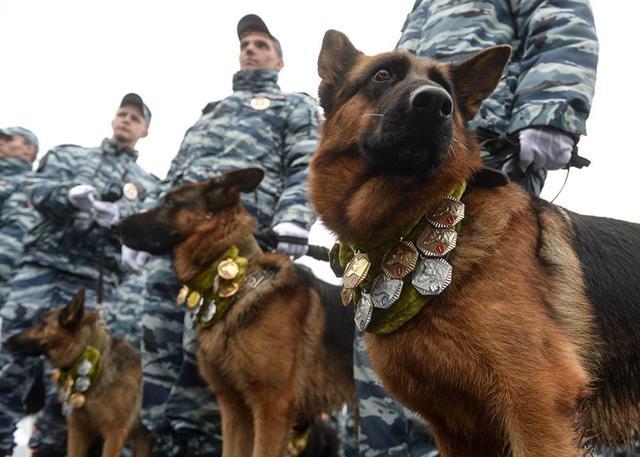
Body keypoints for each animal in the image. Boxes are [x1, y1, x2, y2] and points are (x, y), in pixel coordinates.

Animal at [310, 29, 640, 456]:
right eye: (382, 75)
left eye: (446, 88)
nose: (436, 103)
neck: (412, 224)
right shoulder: (458, 429)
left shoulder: (537, 403)